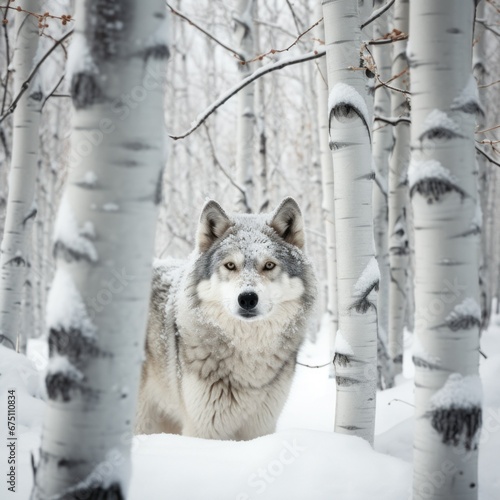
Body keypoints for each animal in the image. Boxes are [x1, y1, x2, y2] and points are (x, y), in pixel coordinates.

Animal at [136, 197, 316, 440]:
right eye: (230, 265)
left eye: (269, 265)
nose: (247, 298)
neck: (249, 356)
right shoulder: (204, 429)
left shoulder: (260, 428)